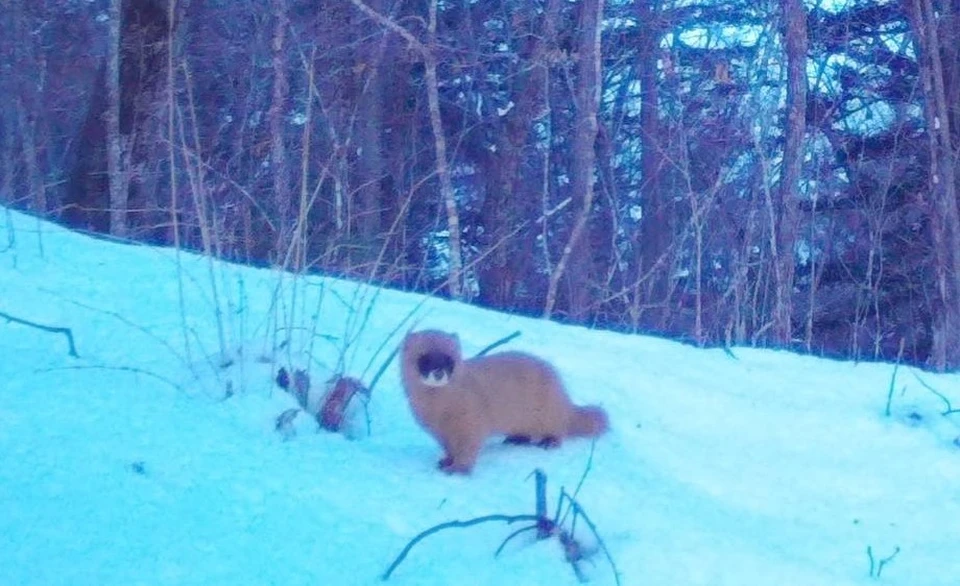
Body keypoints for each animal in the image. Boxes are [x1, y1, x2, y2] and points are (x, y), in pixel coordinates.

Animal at [398, 326, 608, 472]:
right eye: (425, 358)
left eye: (449, 359)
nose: (439, 373)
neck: (439, 411)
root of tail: (563, 392)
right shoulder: (440, 433)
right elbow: (449, 448)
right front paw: (444, 462)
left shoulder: (471, 422)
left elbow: (467, 448)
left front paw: (457, 469)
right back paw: (514, 439)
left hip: (547, 411)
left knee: (558, 428)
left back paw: (548, 442)